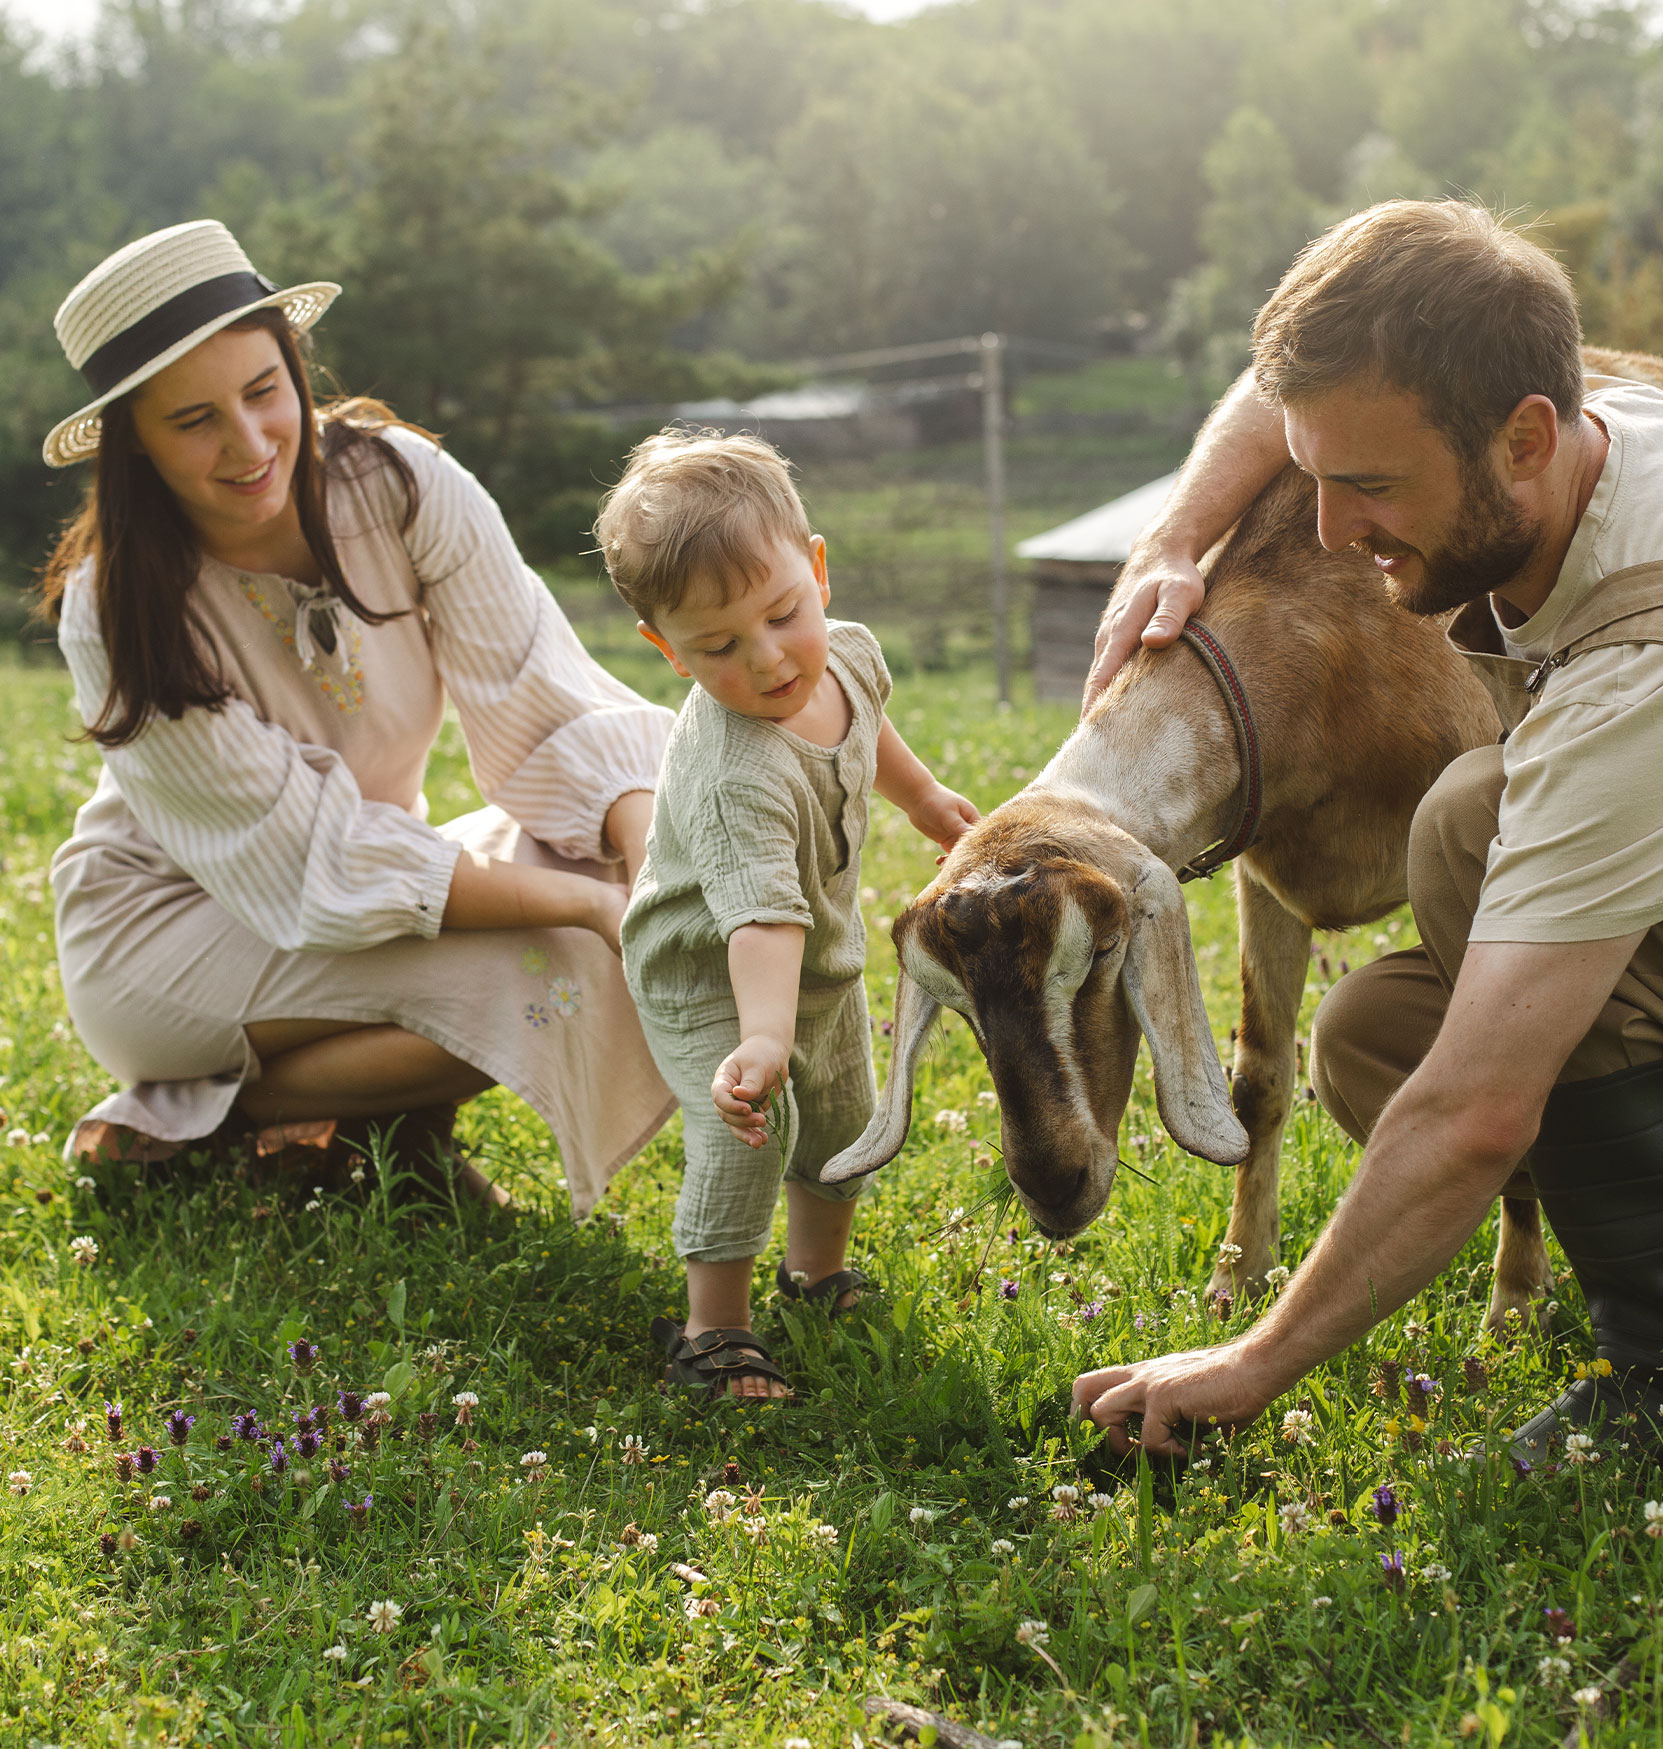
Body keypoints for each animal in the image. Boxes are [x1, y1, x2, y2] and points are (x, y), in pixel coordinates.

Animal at [825, 458, 1552, 1315]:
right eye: (960, 1005)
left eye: (1105, 949)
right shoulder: (1264, 875)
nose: (1053, 1186)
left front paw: (1515, 1297)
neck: (1343, 639)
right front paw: (1238, 1276)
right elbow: (1259, 1080)